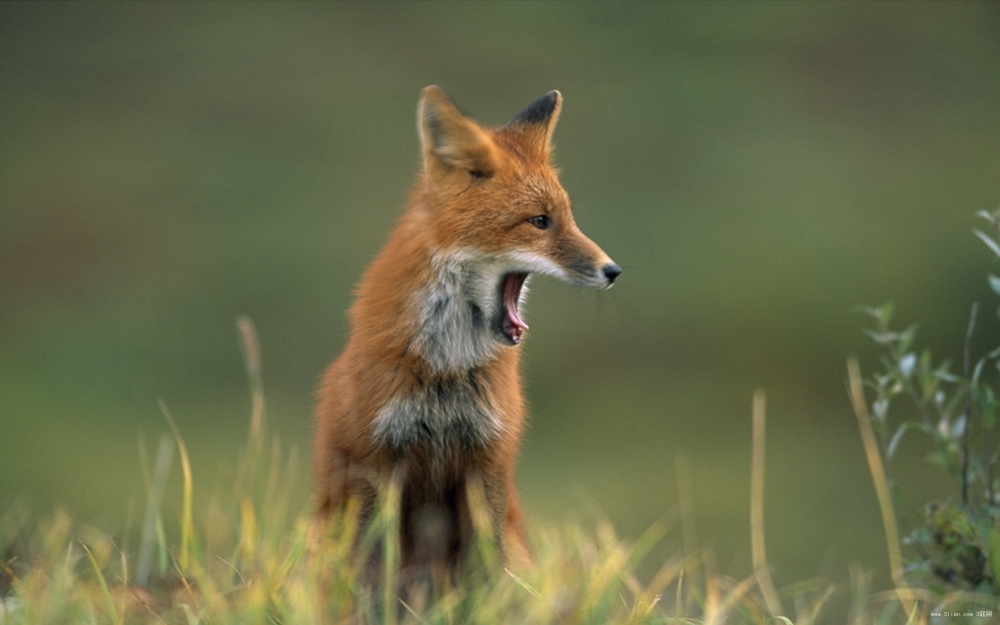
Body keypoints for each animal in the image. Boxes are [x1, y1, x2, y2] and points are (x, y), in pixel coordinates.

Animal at [316, 85, 620, 572]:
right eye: (540, 221)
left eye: (568, 218)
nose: (613, 271)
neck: (446, 369)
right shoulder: (374, 462)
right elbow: (370, 570)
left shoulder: (487, 460)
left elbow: (488, 569)